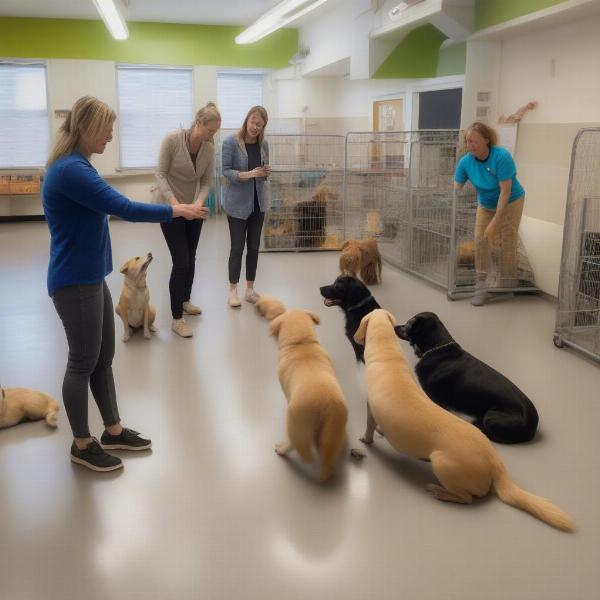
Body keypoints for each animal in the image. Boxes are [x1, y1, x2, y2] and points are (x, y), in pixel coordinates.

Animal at [255, 296, 350, 482]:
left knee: (295, 445)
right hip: (333, 430)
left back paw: (282, 449)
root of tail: (327, 407)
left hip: (297, 426)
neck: (301, 342)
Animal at [396, 312, 540, 442]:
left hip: (491, 416)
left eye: (408, 324)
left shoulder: (435, 397)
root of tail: (532, 427)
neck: (438, 349)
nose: (395, 326)